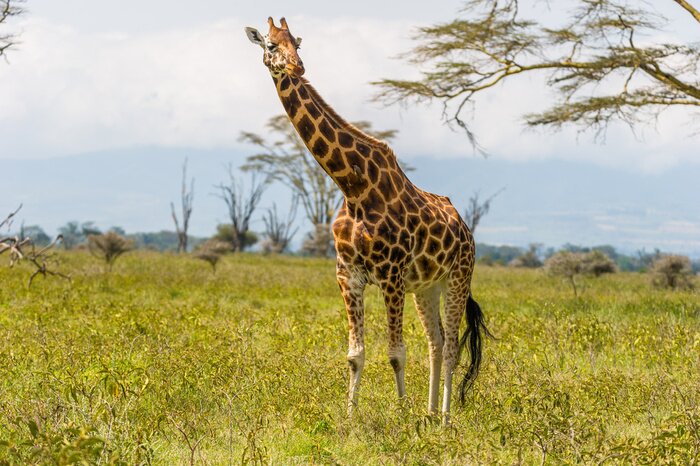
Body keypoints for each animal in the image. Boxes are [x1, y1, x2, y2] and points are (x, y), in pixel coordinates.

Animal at [245, 17, 490, 423]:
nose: (297, 67)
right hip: (426, 287)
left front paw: (402, 415)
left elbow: (395, 352)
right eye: (270, 45)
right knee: (436, 342)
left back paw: (443, 419)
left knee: (452, 347)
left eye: (297, 43)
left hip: (458, 276)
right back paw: (429, 413)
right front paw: (350, 417)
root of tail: (466, 229)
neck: (352, 186)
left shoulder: (391, 275)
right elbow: (355, 354)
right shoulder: (348, 276)